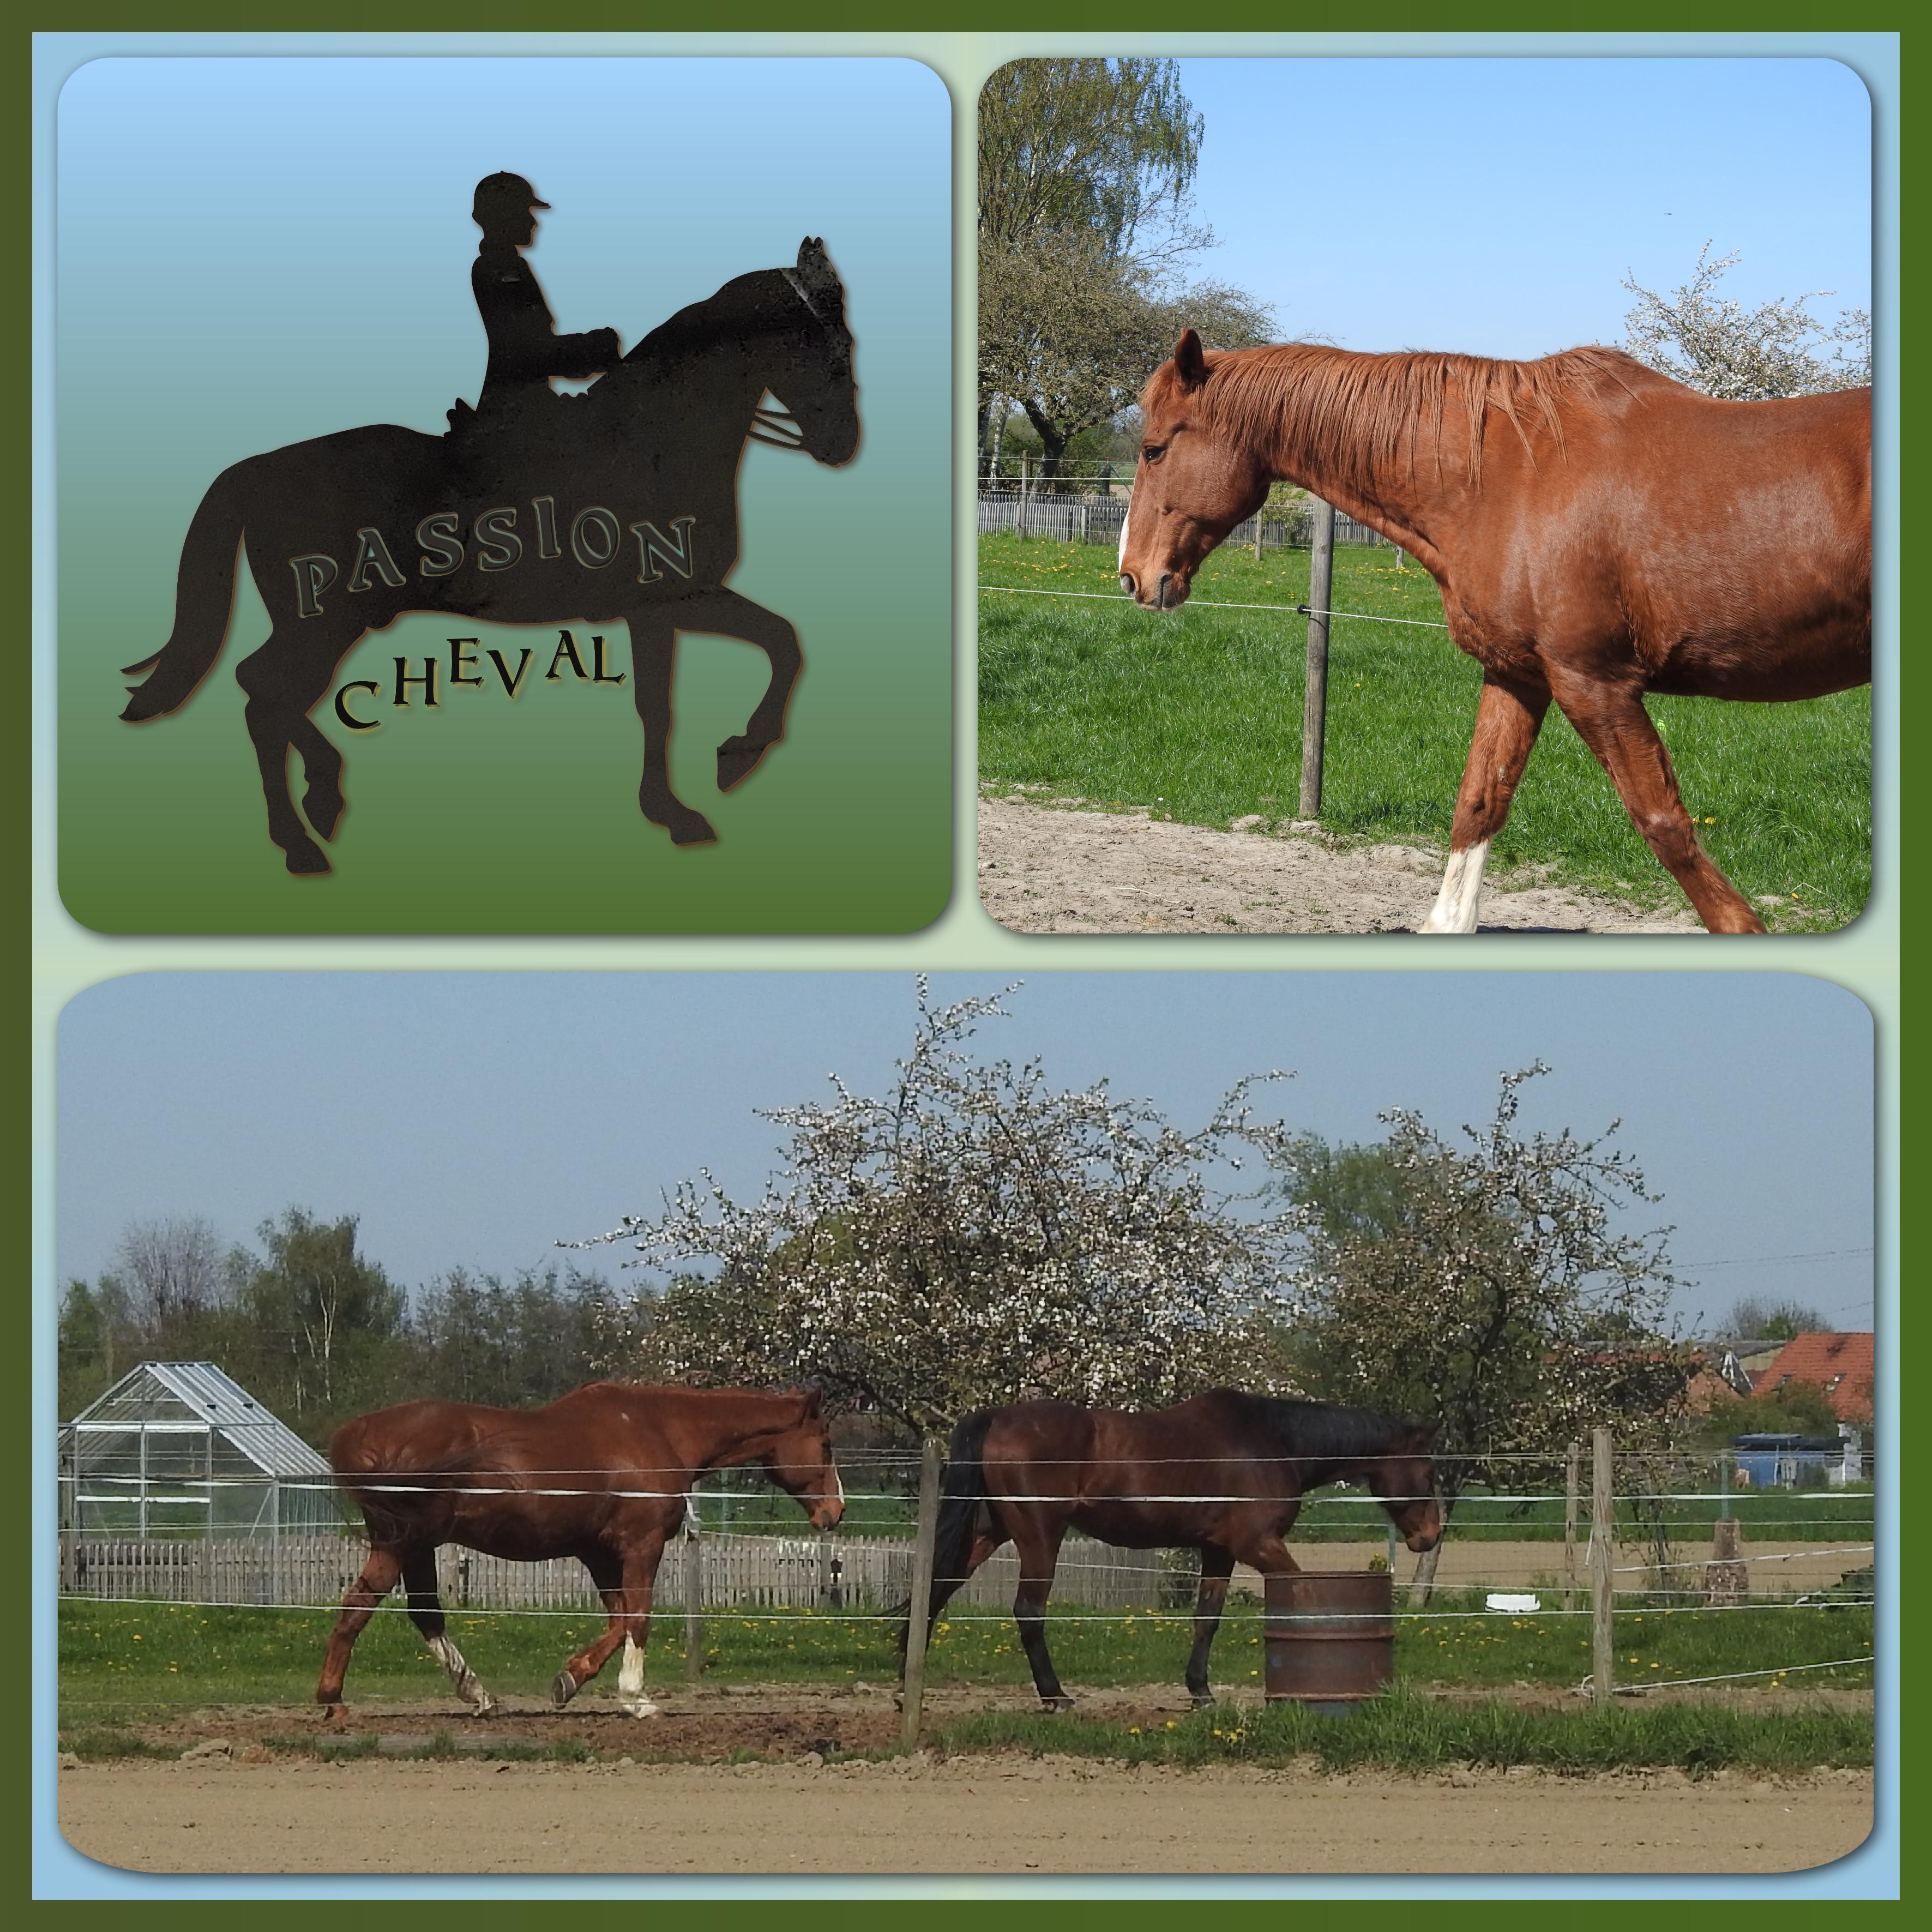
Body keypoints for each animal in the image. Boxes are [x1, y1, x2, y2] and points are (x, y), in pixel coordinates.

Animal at [120, 238, 859, 874]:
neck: (656, 438)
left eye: (846, 340)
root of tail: (258, 469)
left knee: (264, 696)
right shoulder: (673, 598)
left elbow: (691, 690)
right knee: (263, 693)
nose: (842, 445)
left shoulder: (660, 607)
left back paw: (311, 815)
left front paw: (678, 806)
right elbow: (773, 650)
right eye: (809, 345)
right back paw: (307, 830)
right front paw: (733, 762)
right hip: (323, 624)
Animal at [315, 1382, 843, 1719]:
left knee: (423, 1614)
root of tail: (358, 1434)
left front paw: (569, 1680)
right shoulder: (641, 1546)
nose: (834, 1511)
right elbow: (638, 1618)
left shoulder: (599, 1553)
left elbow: (618, 1619)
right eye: (825, 1442)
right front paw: (635, 1698)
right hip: (401, 1544)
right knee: (359, 1608)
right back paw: (332, 1700)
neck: (658, 1430)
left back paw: (478, 1695)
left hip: (417, 1546)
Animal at [910, 1390, 1440, 1710]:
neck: (1273, 1442)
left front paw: (1200, 1691)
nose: (1430, 1536)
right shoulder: (1261, 1545)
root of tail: (997, 1417)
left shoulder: (1218, 1551)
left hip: (989, 1532)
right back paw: (1055, 1695)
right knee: (1028, 1611)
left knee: (936, 1588)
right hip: (1040, 1535)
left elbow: (1206, 1620)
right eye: (1428, 1471)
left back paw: (905, 1682)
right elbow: (1302, 1601)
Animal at [1118, 330, 1870, 934]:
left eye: (1154, 450)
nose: (1133, 578)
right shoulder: (1519, 674)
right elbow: (1478, 803)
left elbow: (1663, 824)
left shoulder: (1594, 683)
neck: (1510, 475)